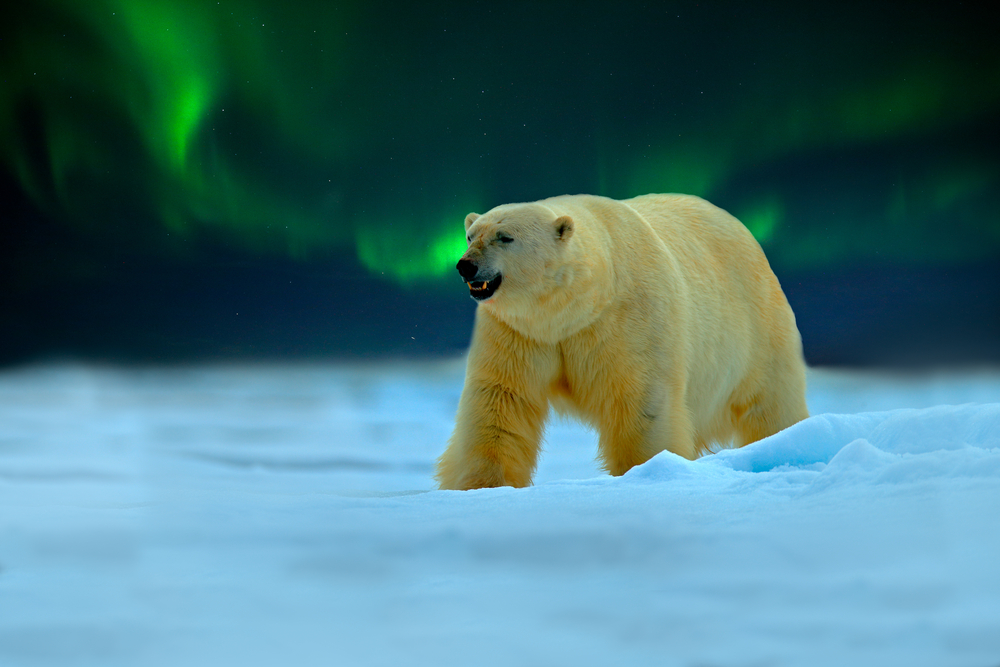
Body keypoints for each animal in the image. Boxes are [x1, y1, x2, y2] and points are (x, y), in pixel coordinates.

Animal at [436, 193, 804, 490]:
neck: (574, 308)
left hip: (756, 325)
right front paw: (483, 486)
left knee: (771, 402)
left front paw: (644, 472)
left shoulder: (625, 322)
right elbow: (502, 400)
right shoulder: (519, 332)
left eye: (506, 237)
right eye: (470, 235)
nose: (466, 265)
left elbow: (640, 401)